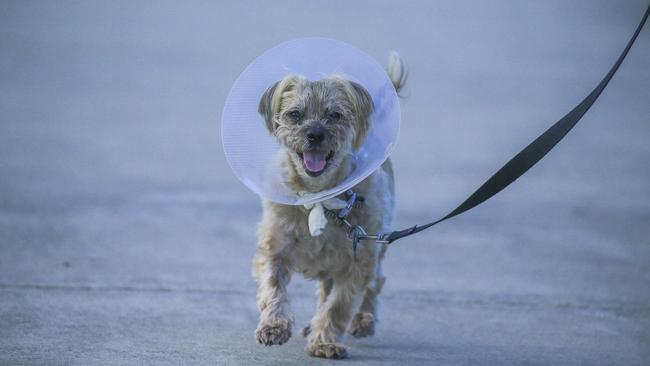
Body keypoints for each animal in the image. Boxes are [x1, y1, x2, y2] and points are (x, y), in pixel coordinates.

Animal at [252, 52, 404, 360]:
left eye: (335, 115)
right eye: (295, 114)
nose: (315, 134)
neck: (318, 200)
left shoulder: (358, 263)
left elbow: (338, 305)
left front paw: (325, 342)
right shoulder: (274, 249)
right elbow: (273, 287)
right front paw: (274, 325)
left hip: (376, 249)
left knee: (375, 283)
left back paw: (364, 319)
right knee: (325, 287)